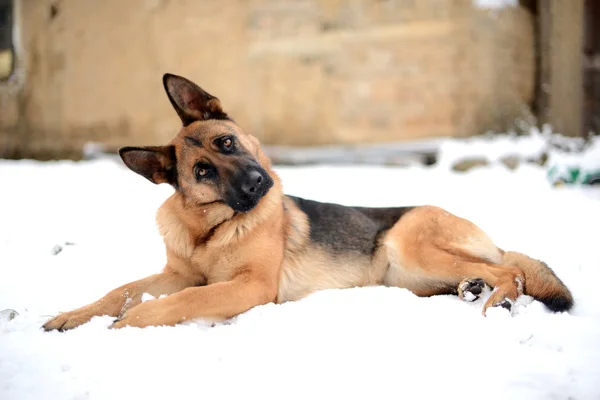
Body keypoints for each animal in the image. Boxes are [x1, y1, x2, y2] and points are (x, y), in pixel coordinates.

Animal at [41, 74, 572, 332]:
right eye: (203, 172)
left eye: (227, 142)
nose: (257, 182)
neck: (209, 230)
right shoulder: (176, 273)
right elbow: (121, 289)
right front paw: (72, 316)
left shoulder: (249, 287)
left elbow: (184, 299)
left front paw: (134, 321)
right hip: (411, 275)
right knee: (490, 272)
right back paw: (474, 289)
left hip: (407, 242)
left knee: (513, 271)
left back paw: (498, 298)